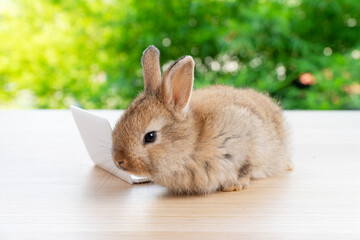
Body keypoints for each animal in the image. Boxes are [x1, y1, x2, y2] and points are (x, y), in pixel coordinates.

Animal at [112, 45, 292, 195]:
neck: (192, 143)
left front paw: (234, 186)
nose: (118, 160)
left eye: (150, 136)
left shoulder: (246, 140)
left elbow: (246, 168)